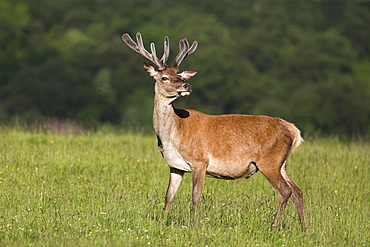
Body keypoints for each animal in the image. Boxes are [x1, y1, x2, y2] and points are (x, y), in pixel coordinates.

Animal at [121, 32, 306, 232]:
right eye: (164, 77)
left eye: (180, 76)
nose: (187, 86)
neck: (172, 136)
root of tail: (293, 130)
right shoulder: (175, 166)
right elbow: (169, 195)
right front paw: (163, 221)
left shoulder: (200, 161)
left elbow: (196, 196)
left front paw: (195, 225)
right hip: (282, 163)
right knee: (298, 191)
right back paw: (304, 229)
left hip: (269, 161)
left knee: (285, 191)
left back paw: (273, 226)